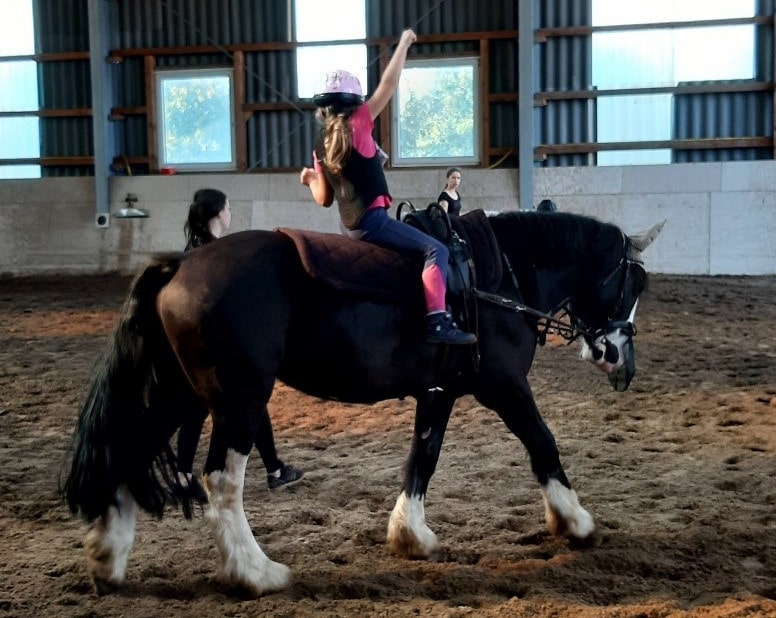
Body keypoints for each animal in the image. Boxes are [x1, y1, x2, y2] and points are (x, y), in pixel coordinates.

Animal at [63, 209, 664, 596]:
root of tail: (181, 266)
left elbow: (424, 457)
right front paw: (575, 521)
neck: (495, 275)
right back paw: (255, 573)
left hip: (177, 392)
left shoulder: (439, 392)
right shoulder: (504, 385)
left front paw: (410, 535)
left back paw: (108, 559)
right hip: (238, 399)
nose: (621, 361)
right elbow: (542, 442)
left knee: (128, 451)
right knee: (221, 482)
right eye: (634, 283)